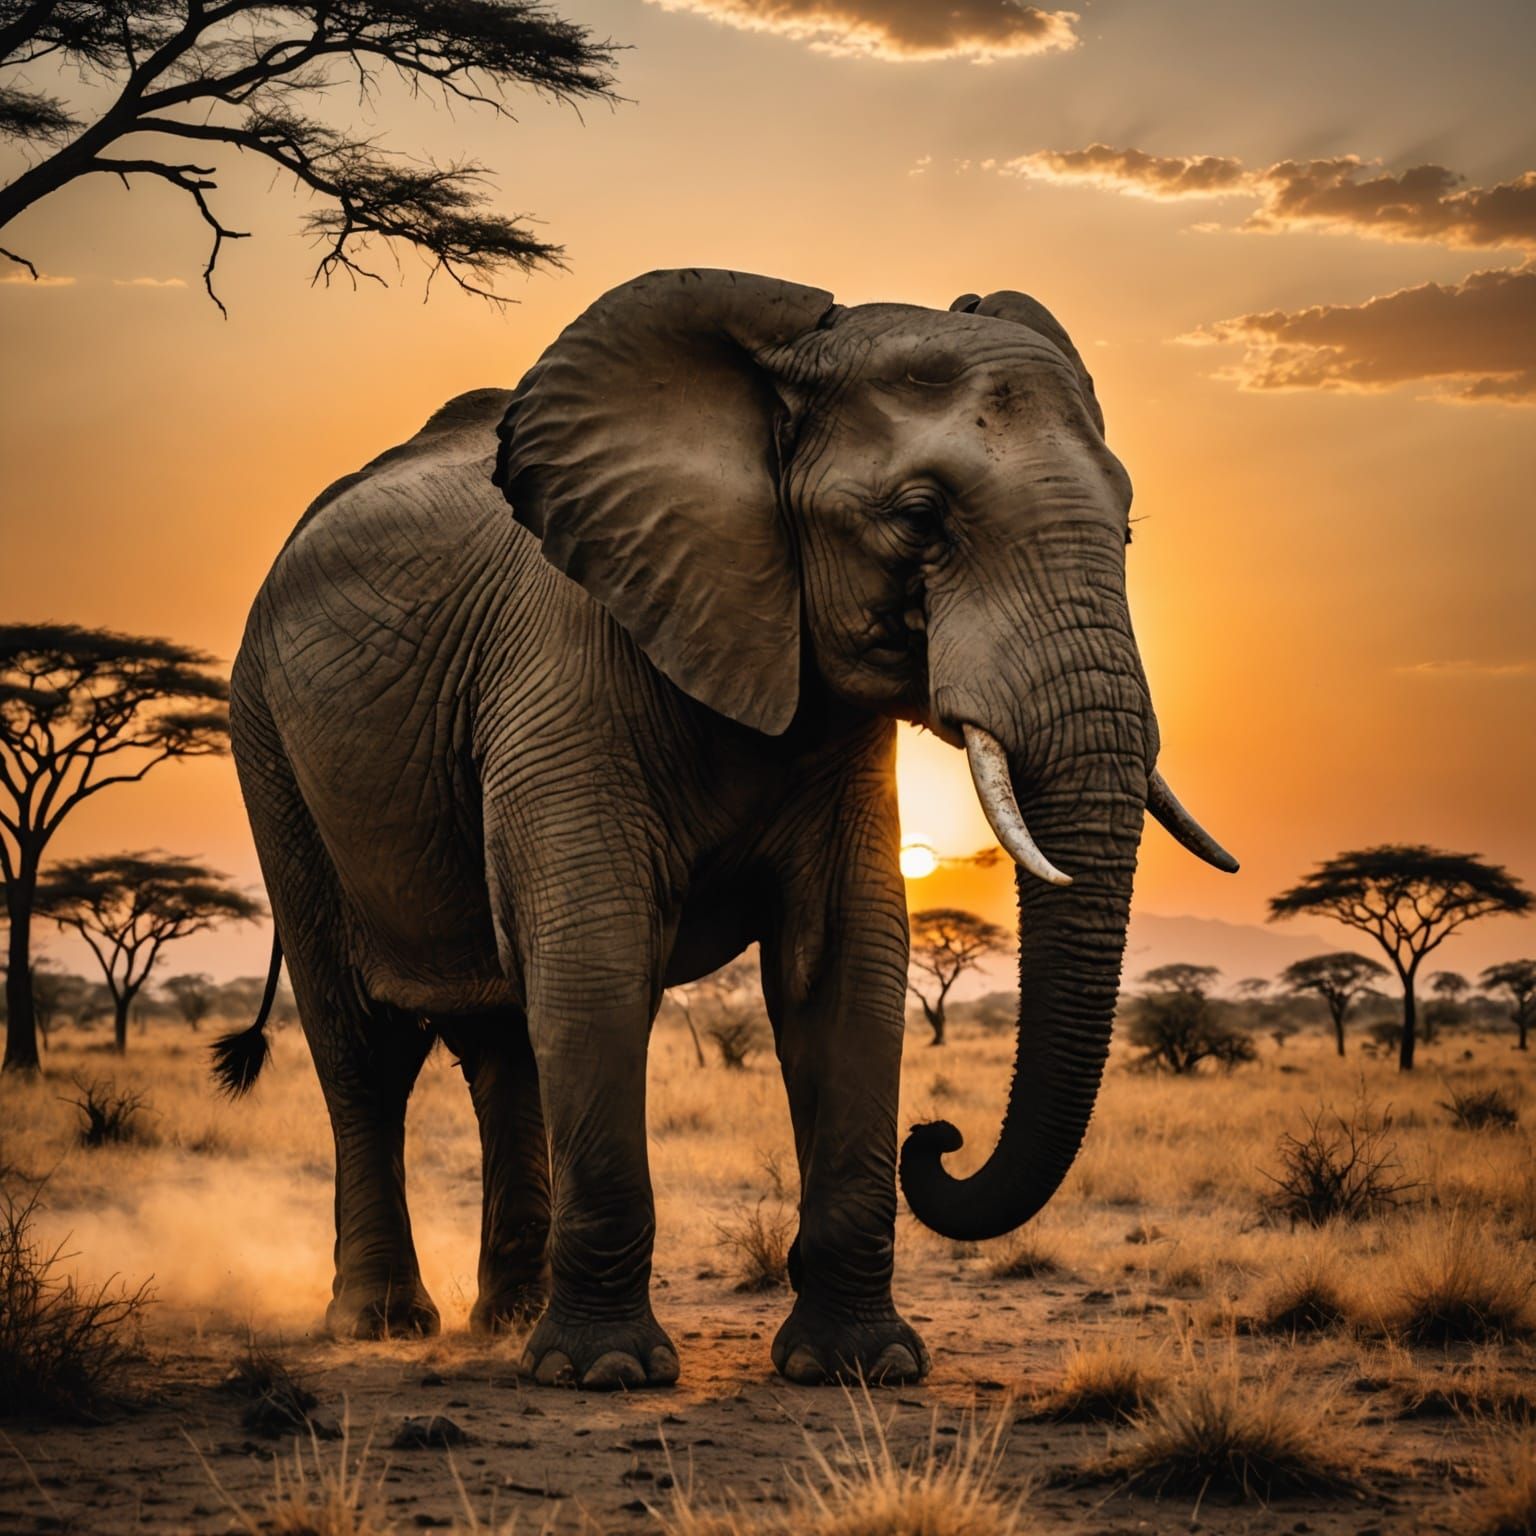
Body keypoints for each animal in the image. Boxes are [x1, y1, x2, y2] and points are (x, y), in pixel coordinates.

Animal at [216, 267, 1235, 1391]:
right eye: (921, 519)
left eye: (1128, 528)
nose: (940, 1139)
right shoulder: (567, 666)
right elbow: (599, 956)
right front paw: (607, 1376)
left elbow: (847, 965)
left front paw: (861, 1367)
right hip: (268, 744)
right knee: (364, 1048)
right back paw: (388, 1327)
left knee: (505, 1042)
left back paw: (507, 1320)